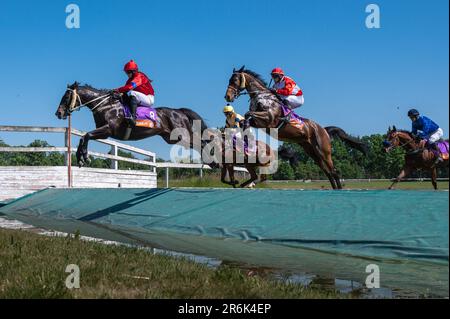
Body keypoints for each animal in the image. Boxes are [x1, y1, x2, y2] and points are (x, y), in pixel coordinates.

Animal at [54, 82, 207, 168]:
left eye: (66, 97)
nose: (58, 113)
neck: (105, 105)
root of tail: (179, 111)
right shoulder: (103, 133)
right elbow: (83, 137)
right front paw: (80, 158)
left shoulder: (108, 130)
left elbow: (86, 135)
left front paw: (85, 157)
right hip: (171, 138)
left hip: (183, 136)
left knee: (202, 143)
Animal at [223, 66, 368, 189]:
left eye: (234, 80)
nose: (227, 97)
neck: (262, 96)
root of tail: (324, 130)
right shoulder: (260, 123)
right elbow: (246, 119)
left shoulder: (269, 119)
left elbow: (248, 114)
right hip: (312, 152)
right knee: (328, 172)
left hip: (324, 151)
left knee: (334, 171)